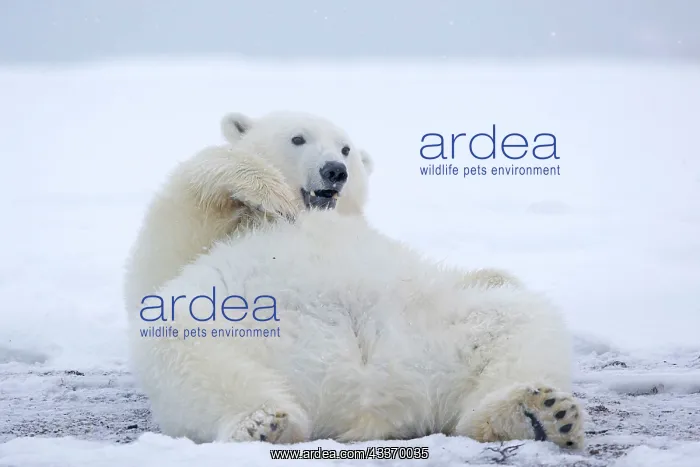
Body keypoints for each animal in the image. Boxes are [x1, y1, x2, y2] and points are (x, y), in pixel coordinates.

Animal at [127, 208, 586, 450]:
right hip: (223, 329)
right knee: (187, 355)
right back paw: (261, 424)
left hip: (445, 333)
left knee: (524, 325)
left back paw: (540, 414)